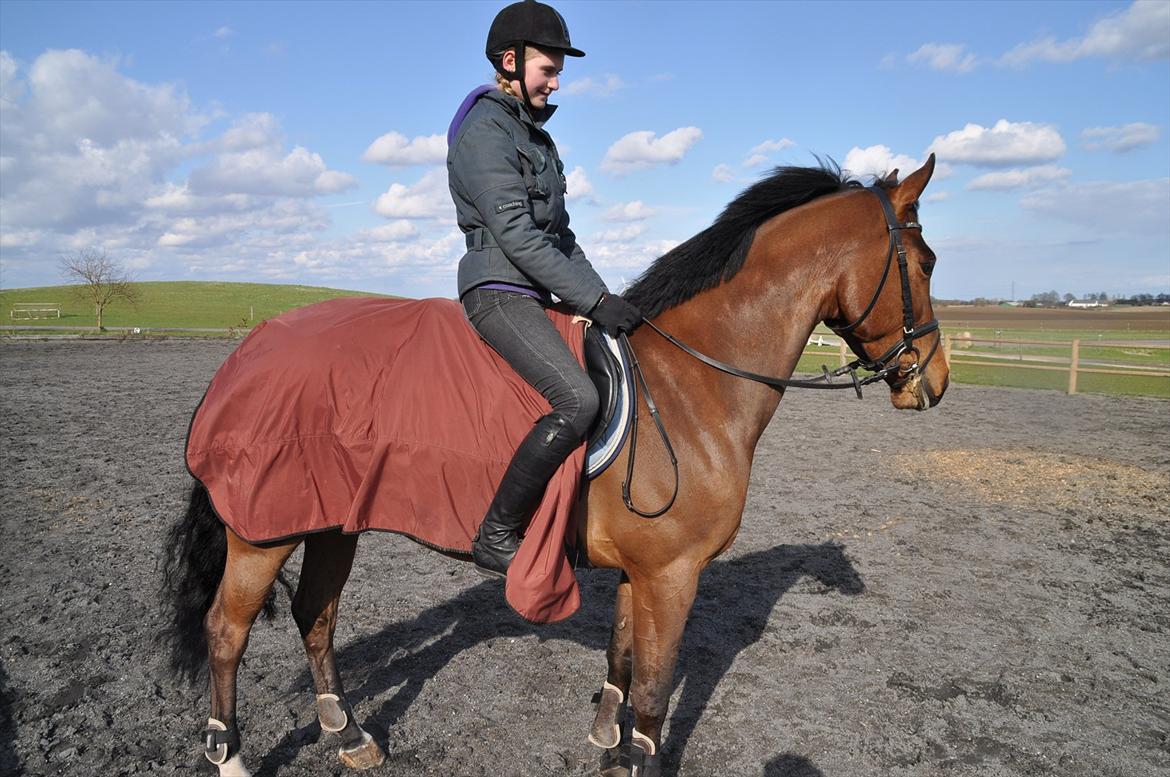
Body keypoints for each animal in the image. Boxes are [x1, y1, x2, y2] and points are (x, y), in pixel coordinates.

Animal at [161, 154, 947, 777]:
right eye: (926, 263)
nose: (933, 383)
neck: (689, 384)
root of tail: (249, 350)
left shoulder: (643, 572)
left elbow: (621, 660)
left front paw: (607, 745)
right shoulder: (673, 575)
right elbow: (655, 696)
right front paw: (632, 757)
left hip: (331, 521)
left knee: (315, 615)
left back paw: (349, 734)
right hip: (261, 531)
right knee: (227, 631)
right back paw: (230, 755)